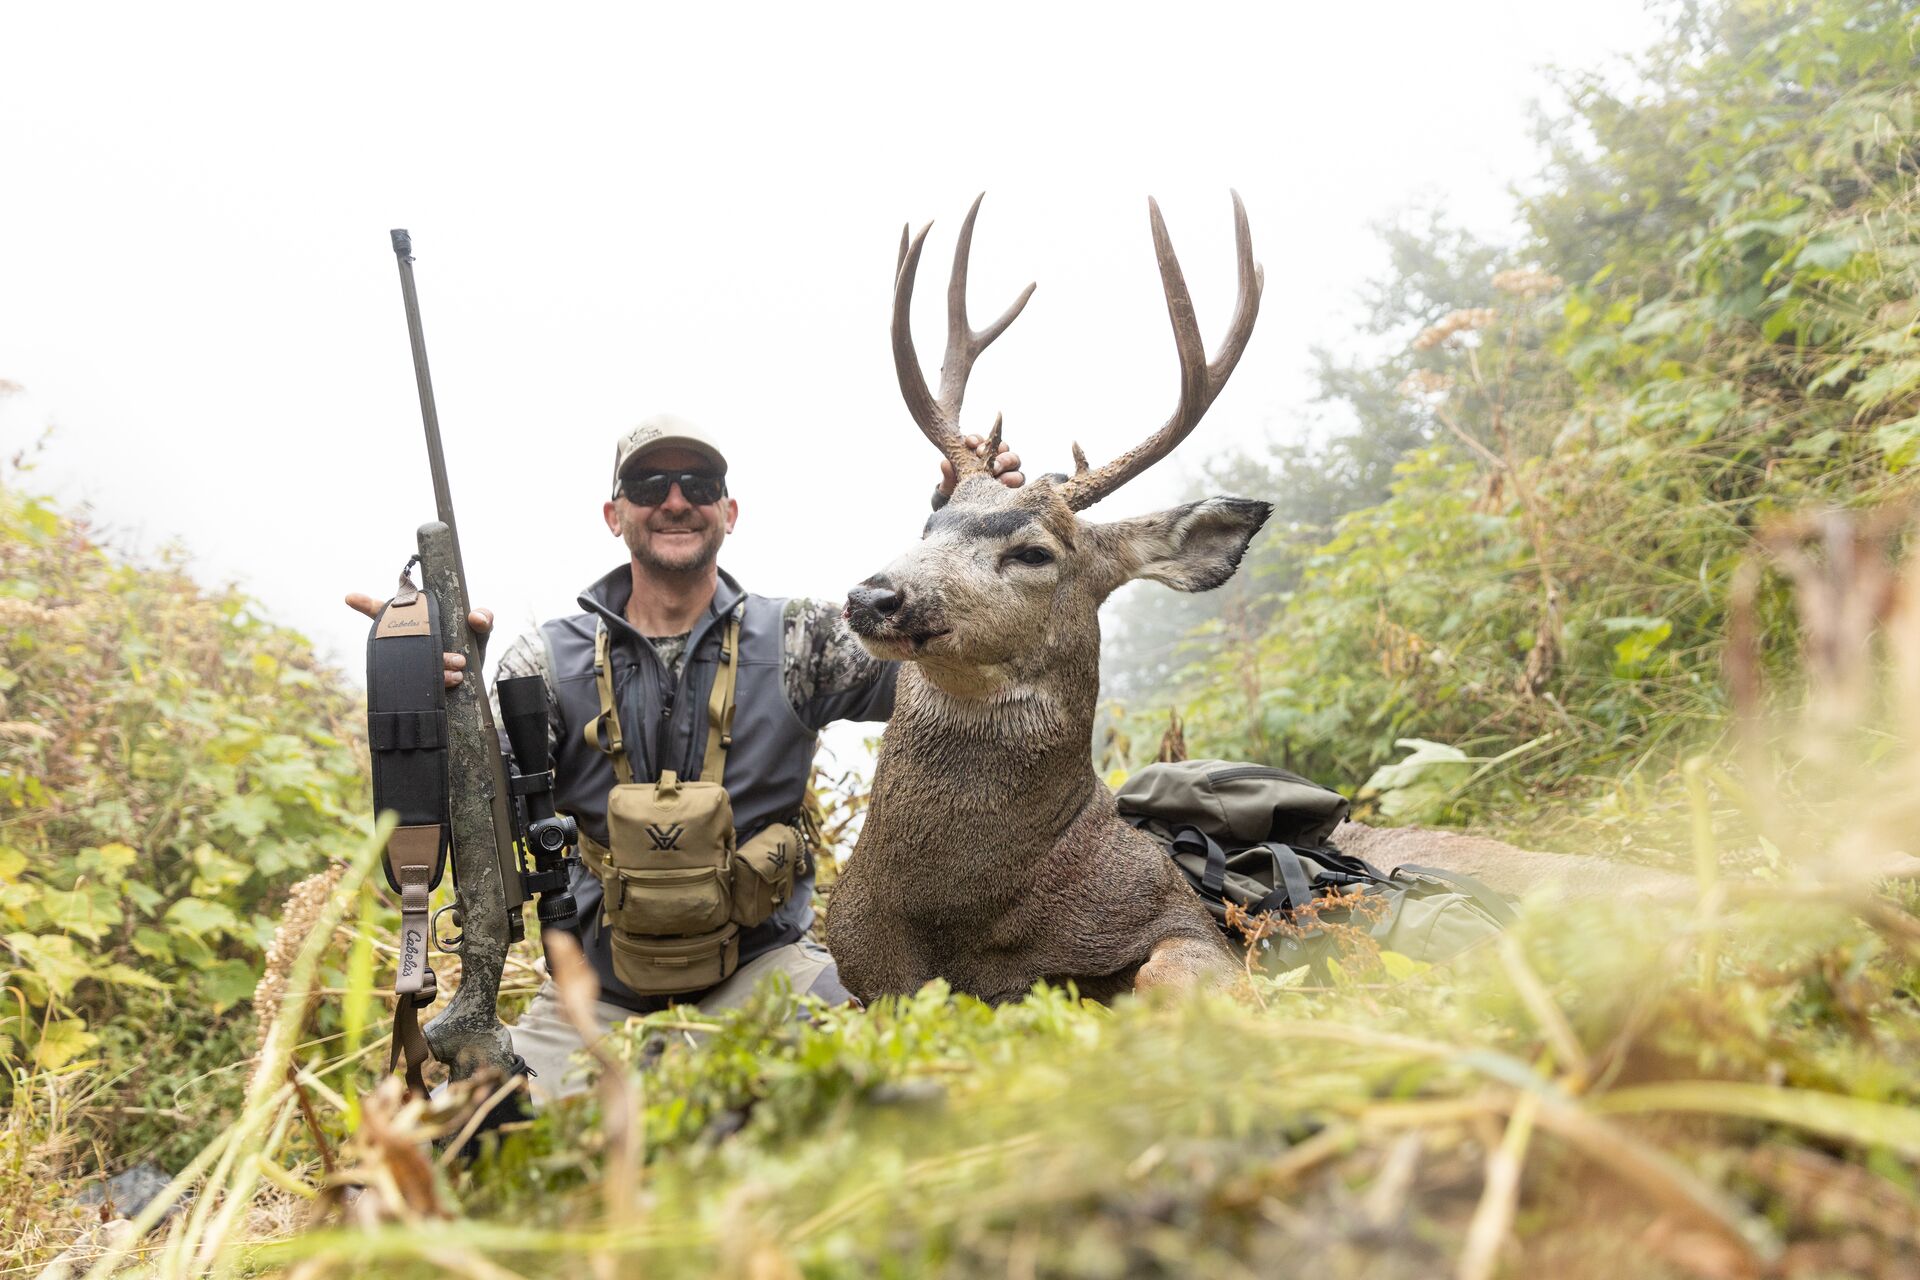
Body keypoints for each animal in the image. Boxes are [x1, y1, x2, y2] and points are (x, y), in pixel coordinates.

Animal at [829, 193, 1267, 1005]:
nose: (874, 595)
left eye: (1036, 551)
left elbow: (1170, 972)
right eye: (929, 523)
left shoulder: (1185, 923)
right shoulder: (860, 966)